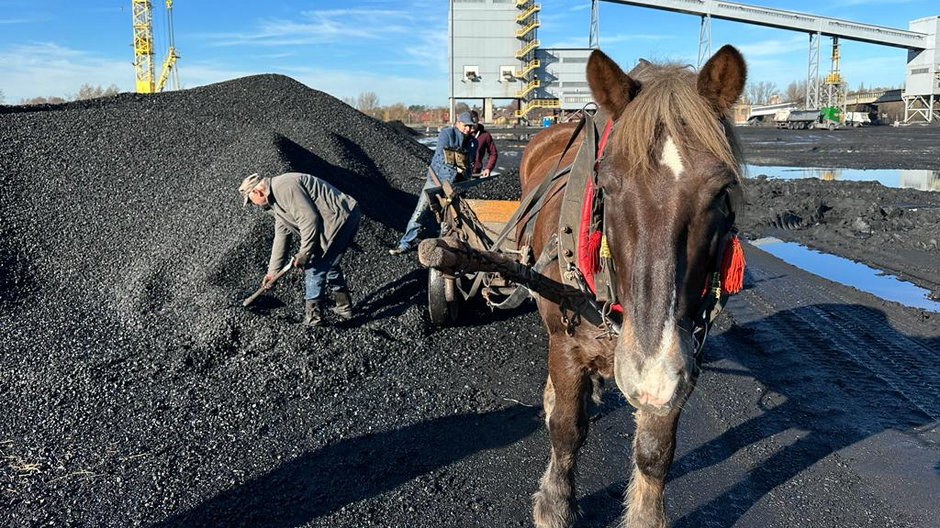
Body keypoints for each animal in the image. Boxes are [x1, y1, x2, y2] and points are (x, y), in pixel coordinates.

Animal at [516, 46, 744, 528]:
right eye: (607, 182)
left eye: (722, 189)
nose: (647, 371)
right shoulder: (568, 344)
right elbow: (567, 428)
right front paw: (555, 502)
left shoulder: (682, 356)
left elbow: (655, 451)